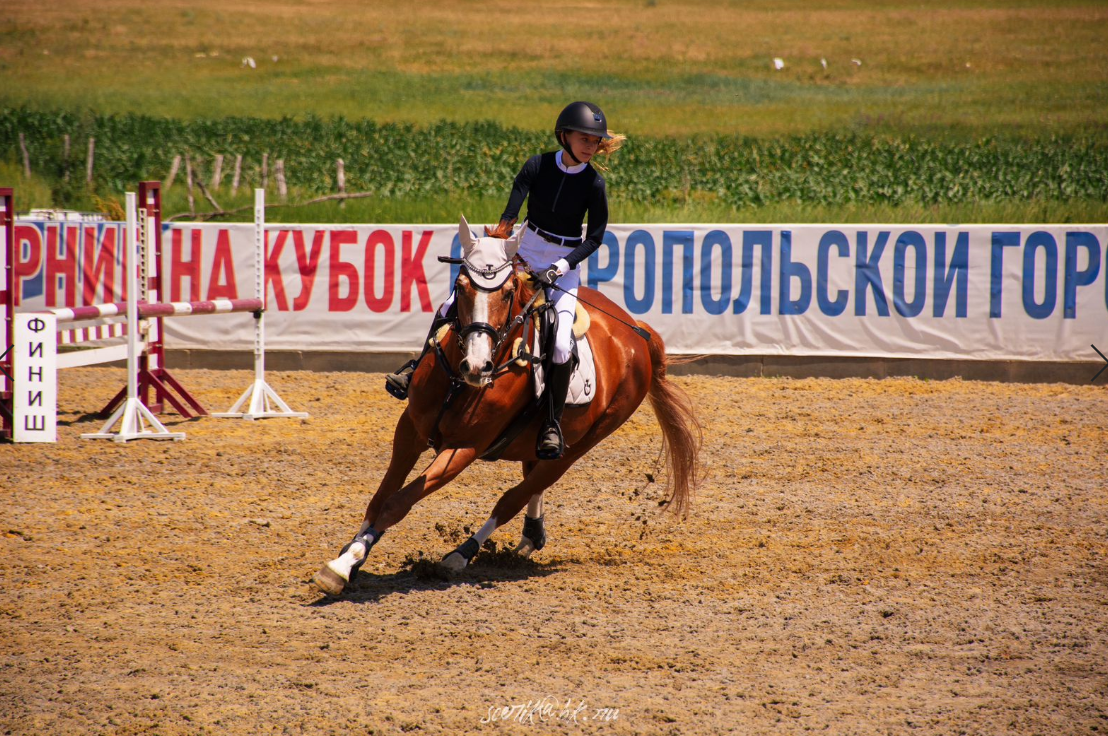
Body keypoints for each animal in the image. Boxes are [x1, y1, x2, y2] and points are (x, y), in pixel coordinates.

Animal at [314, 216, 700, 594]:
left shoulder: (464, 448)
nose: (477, 367)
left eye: (509, 292)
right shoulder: (409, 429)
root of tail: (636, 329)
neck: (458, 381)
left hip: (580, 445)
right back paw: (532, 533)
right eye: (461, 286)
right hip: (535, 439)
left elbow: (397, 502)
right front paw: (352, 552)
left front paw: (344, 565)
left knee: (515, 496)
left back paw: (461, 554)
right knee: (532, 478)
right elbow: (380, 497)